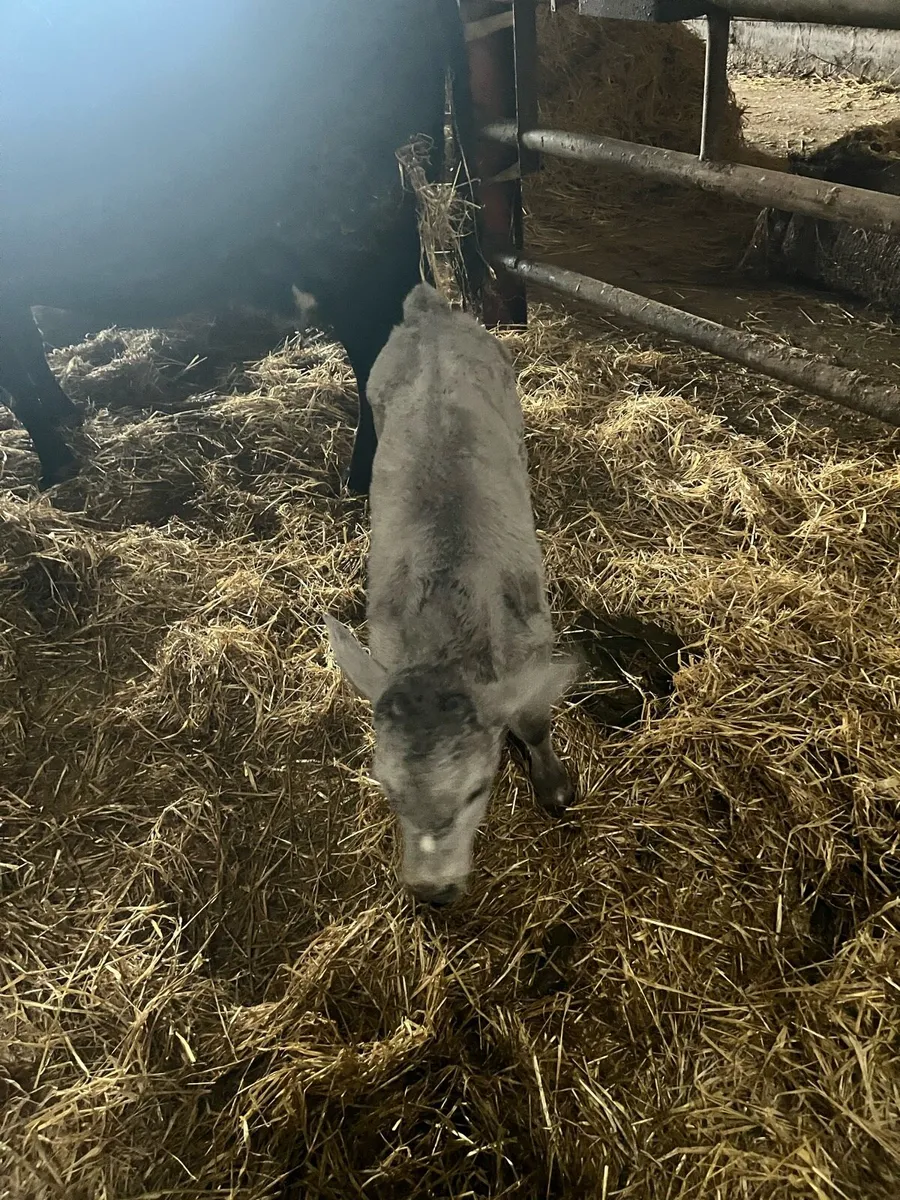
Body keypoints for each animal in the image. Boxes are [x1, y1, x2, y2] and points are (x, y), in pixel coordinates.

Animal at [0, 0, 482, 493]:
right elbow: (29, 356)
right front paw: (65, 419)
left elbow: (17, 383)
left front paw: (53, 467)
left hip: (353, 235)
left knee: (377, 346)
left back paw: (362, 476)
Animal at [324, 283, 577, 906]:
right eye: (389, 791)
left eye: (476, 790)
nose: (433, 891)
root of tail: (430, 310)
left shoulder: (534, 642)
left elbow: (533, 720)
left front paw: (554, 787)